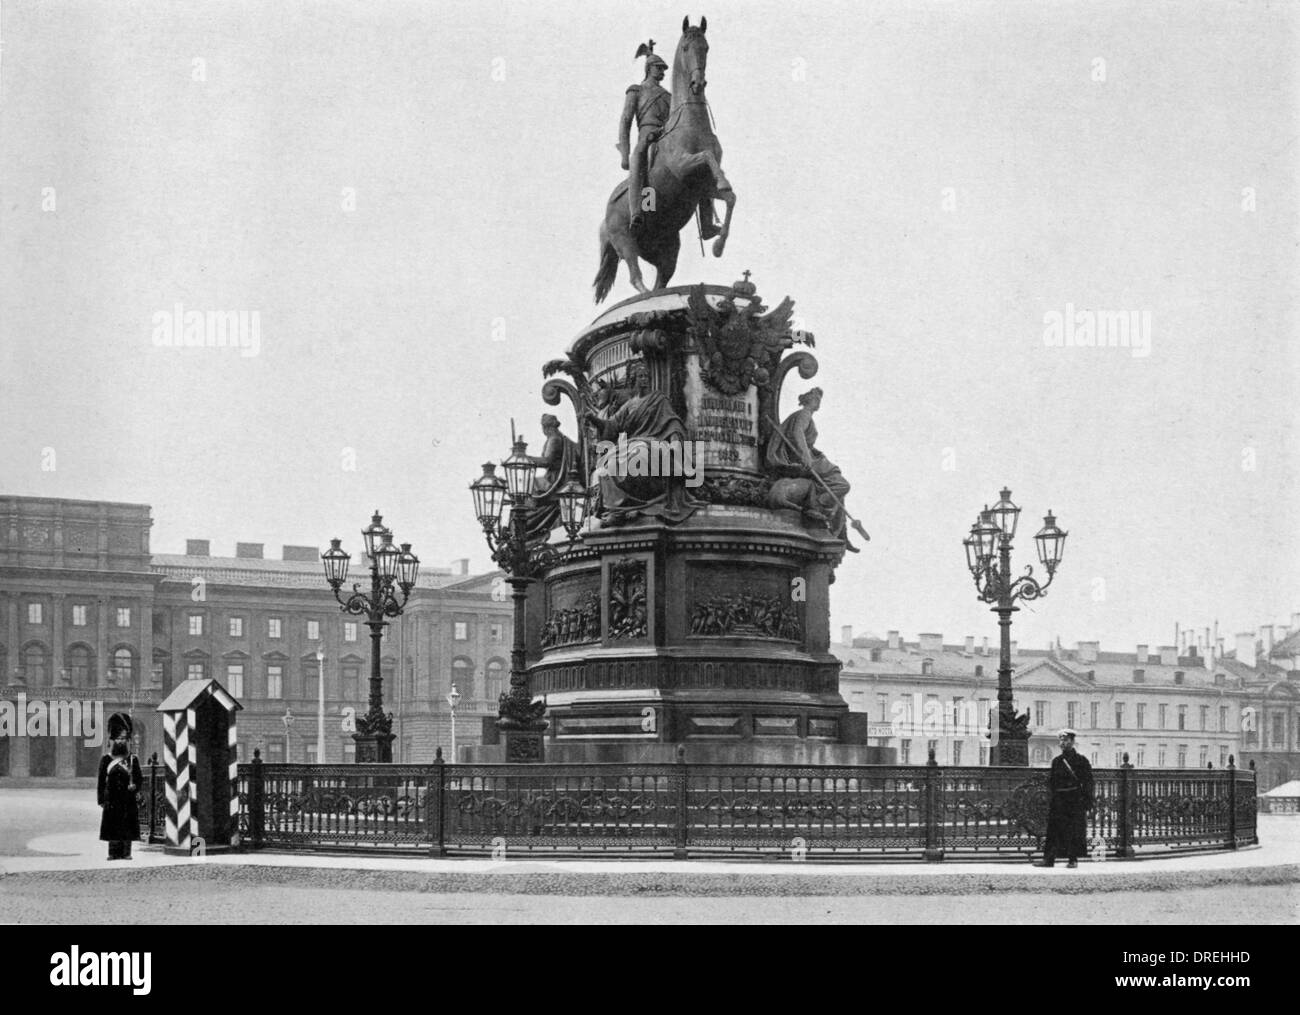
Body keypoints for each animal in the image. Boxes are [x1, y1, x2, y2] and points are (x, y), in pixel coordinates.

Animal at [595, 16, 738, 301]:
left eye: (706, 48)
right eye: (685, 47)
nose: (698, 84)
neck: (692, 126)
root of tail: (605, 219)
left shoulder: (702, 188)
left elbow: (730, 198)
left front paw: (717, 243)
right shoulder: (684, 166)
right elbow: (707, 157)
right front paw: (724, 181)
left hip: (666, 249)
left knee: (661, 279)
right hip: (625, 241)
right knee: (636, 276)